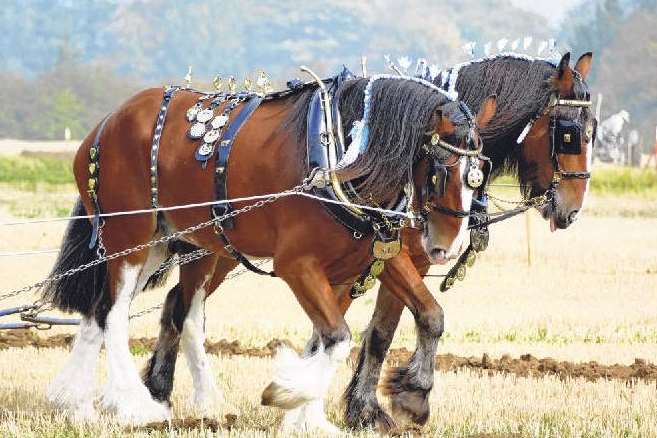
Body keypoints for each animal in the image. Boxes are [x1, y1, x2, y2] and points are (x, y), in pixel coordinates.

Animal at [42, 74, 498, 428]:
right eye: (440, 170)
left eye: (480, 171)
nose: (447, 246)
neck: (343, 158)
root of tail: (105, 124)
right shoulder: (297, 265)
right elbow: (336, 338)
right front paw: (290, 394)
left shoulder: (378, 256)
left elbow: (429, 316)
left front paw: (411, 396)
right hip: (129, 238)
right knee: (115, 314)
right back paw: (134, 405)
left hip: (174, 244)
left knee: (123, 311)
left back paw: (80, 404)